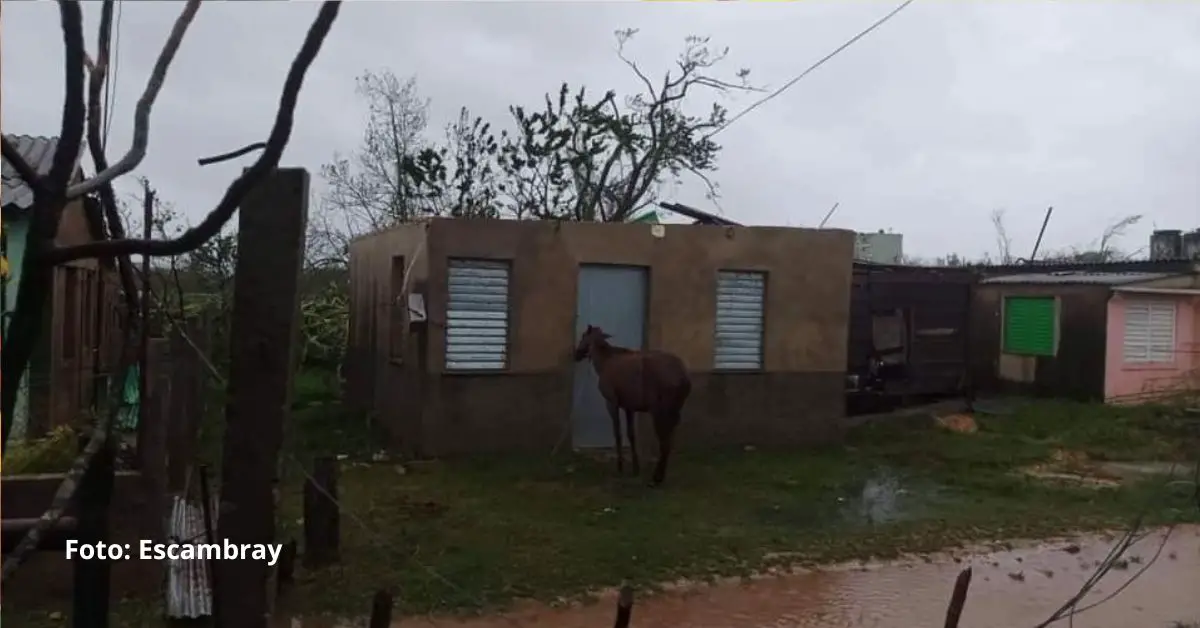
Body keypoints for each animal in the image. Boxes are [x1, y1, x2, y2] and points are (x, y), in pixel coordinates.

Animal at [573, 324, 696, 487]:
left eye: (583, 336)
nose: (576, 354)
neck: (605, 362)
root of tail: (683, 377)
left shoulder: (612, 403)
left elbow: (618, 433)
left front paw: (620, 466)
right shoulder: (629, 407)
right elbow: (631, 435)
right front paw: (635, 467)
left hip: (660, 411)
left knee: (664, 442)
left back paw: (656, 477)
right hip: (675, 412)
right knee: (669, 440)